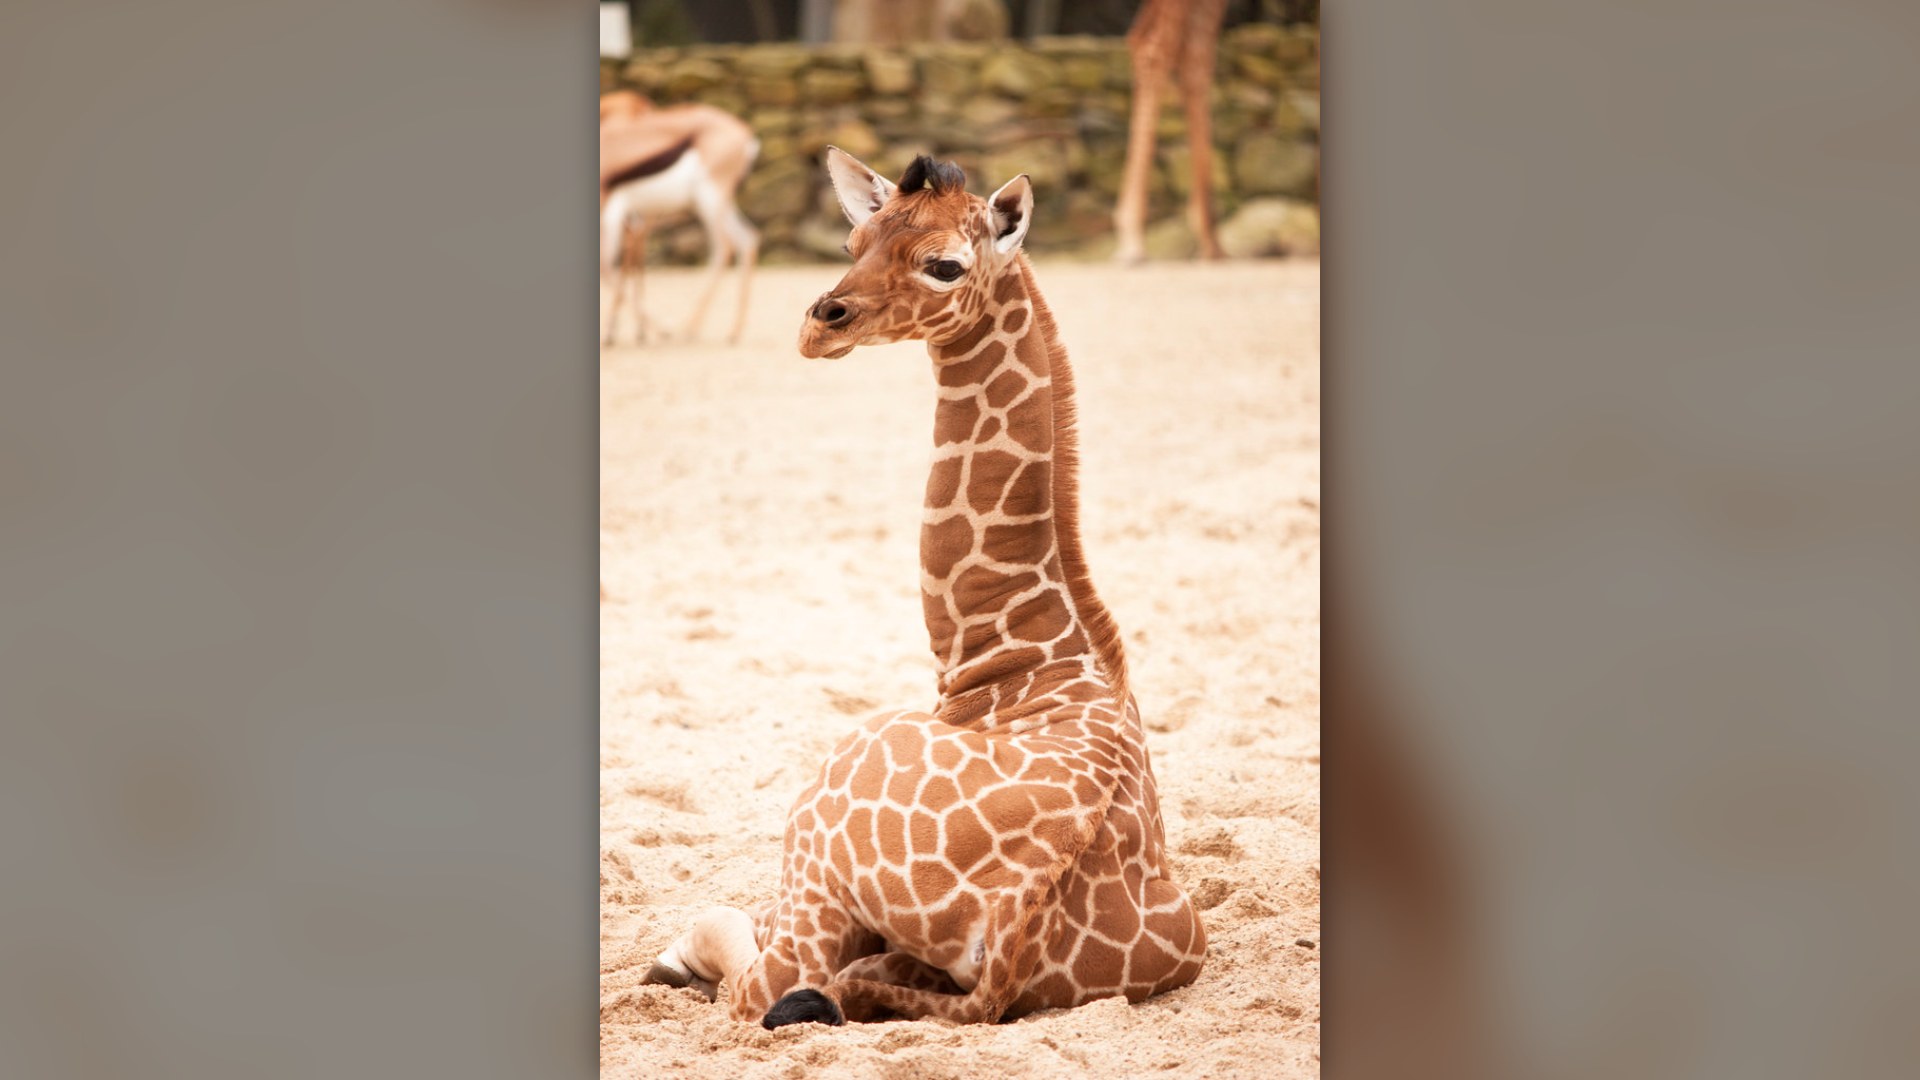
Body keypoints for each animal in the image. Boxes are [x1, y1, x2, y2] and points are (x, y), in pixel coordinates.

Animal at [637, 151, 1207, 1028]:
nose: (822, 323)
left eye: (945, 265)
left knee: (765, 980)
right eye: (854, 239)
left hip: (827, 804)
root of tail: (1017, 916)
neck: (1010, 651)